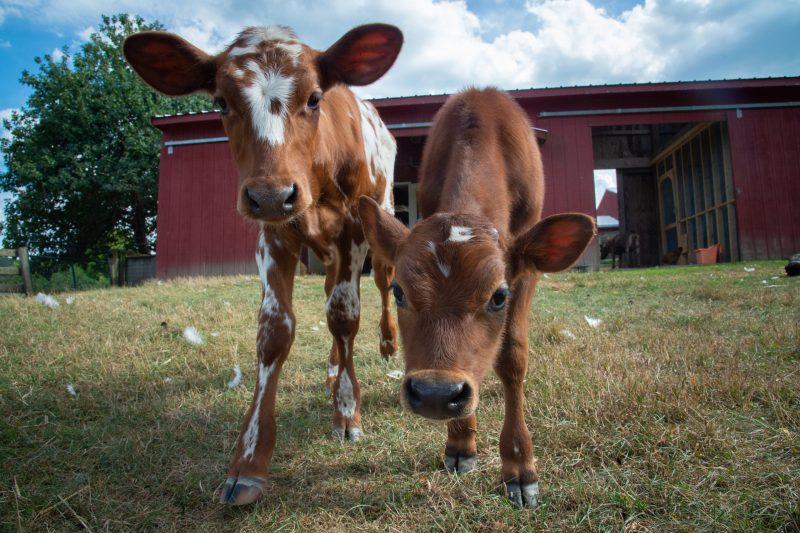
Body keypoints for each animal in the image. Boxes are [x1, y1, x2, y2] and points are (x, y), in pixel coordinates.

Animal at [126, 23, 406, 502]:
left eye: (314, 97)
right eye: (221, 101)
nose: (273, 194)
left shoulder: (353, 226)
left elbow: (345, 316)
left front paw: (347, 412)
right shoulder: (274, 236)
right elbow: (275, 332)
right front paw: (249, 459)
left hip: (380, 216)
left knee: (381, 284)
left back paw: (387, 346)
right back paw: (332, 370)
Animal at [356, 87, 592, 508]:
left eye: (499, 296)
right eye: (400, 291)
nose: (435, 394)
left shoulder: (527, 268)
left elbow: (512, 356)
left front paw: (519, 465)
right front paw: (461, 442)